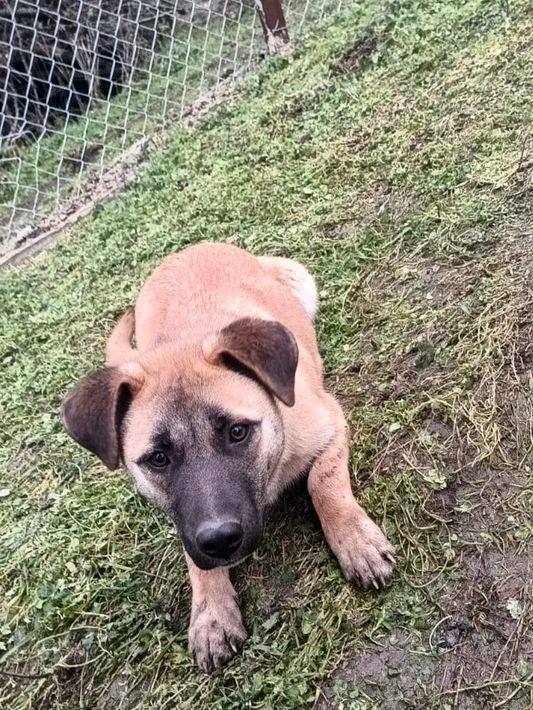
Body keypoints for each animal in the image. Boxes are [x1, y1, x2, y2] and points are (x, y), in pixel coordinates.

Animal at [61, 242, 395, 672]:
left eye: (237, 432)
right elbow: (192, 555)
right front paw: (211, 613)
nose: (220, 540)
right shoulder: (186, 524)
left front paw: (355, 541)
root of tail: (187, 249)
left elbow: (322, 482)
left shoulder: (331, 424)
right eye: (158, 458)